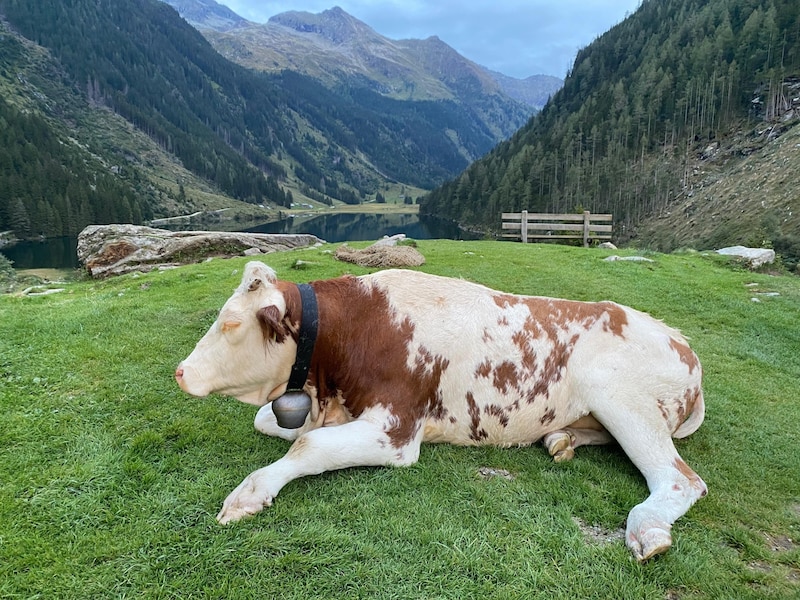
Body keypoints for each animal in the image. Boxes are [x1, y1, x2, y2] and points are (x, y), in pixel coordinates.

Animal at [177, 262, 708, 564]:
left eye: (230, 323)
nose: (181, 372)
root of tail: (678, 337)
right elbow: (271, 421)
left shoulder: (396, 431)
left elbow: (309, 446)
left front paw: (249, 494)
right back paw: (561, 439)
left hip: (623, 398)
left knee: (682, 479)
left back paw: (647, 528)